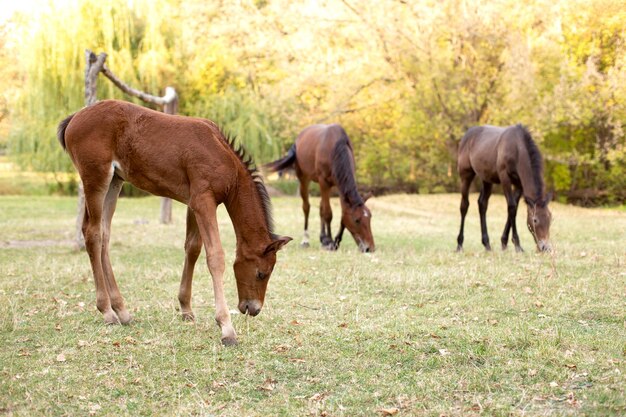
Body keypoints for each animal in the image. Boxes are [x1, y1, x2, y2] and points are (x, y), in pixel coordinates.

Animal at [56, 98, 290, 344]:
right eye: (261, 273)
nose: (253, 308)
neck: (224, 158)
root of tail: (75, 118)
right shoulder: (203, 201)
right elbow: (215, 257)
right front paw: (226, 328)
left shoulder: (195, 203)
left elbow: (193, 248)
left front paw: (186, 308)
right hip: (96, 178)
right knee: (92, 233)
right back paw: (107, 312)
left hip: (115, 181)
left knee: (104, 234)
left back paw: (122, 311)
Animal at [262, 123, 372, 252]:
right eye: (357, 220)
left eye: (370, 217)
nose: (370, 248)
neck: (335, 148)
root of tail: (298, 140)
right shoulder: (324, 182)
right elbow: (328, 213)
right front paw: (330, 242)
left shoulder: (338, 185)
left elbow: (339, 213)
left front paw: (335, 241)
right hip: (304, 179)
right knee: (306, 207)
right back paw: (306, 240)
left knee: (320, 207)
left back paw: (322, 238)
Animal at [454, 123, 552, 252]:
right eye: (535, 220)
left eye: (550, 218)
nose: (545, 247)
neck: (517, 148)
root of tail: (467, 136)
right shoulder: (505, 179)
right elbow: (511, 207)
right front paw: (517, 245)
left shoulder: (519, 184)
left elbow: (514, 208)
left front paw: (504, 242)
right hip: (466, 175)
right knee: (464, 205)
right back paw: (460, 244)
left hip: (487, 179)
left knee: (482, 204)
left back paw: (487, 244)